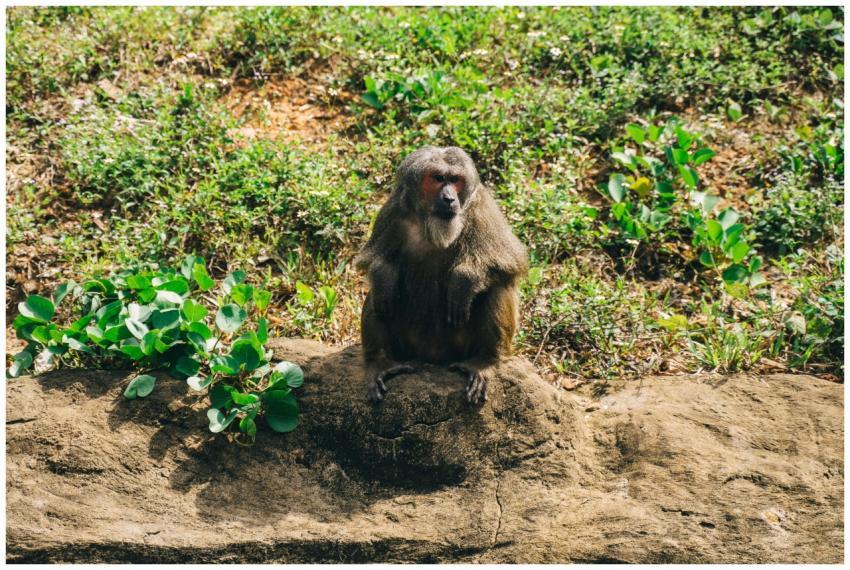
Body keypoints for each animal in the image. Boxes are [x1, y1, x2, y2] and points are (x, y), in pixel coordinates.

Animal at [355, 146, 528, 404]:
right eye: (438, 178)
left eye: (455, 180)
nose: (449, 198)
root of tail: (432, 359)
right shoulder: (393, 210)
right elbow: (373, 262)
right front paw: (385, 278)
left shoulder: (483, 208)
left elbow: (511, 261)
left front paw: (464, 281)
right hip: (408, 347)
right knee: (379, 297)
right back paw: (380, 361)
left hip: (458, 347)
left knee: (497, 286)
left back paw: (485, 360)